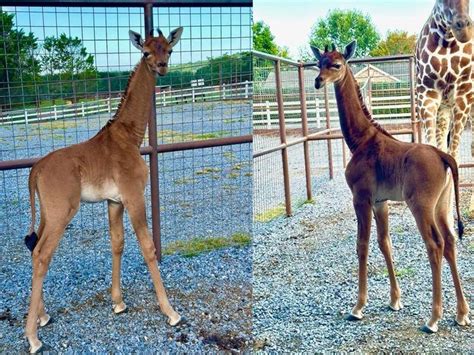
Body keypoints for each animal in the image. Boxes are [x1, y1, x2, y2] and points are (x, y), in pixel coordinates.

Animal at [23, 27, 183, 354]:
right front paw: (171, 312)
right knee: (42, 254)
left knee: (34, 248)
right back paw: (33, 337)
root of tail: (36, 170)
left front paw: (118, 302)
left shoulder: (114, 201)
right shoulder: (134, 196)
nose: (162, 67)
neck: (130, 136)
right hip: (62, 212)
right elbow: (148, 247)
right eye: (146, 52)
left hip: (47, 213)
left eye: (169, 49)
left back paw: (43, 317)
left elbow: (117, 243)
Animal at [312, 41, 470, 334]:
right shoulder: (380, 202)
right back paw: (462, 314)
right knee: (451, 242)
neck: (360, 140)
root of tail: (444, 156)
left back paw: (433, 319)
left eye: (337, 64)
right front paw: (395, 300)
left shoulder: (361, 198)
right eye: (319, 63)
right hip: (442, 206)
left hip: (421, 206)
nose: (318, 81)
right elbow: (385, 242)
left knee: (435, 244)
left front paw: (358, 307)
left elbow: (362, 245)